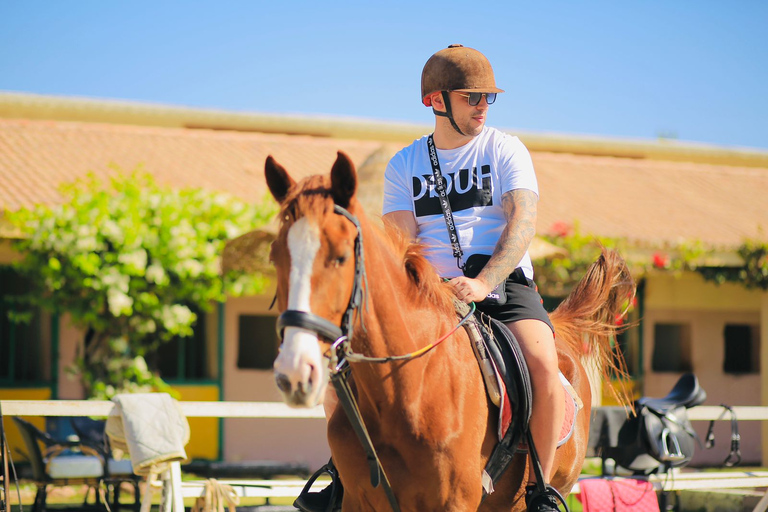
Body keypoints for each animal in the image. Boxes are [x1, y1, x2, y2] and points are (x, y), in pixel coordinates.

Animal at [262, 150, 632, 510]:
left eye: (340, 258)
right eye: (276, 257)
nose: (294, 371)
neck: (406, 388)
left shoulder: (454, 501)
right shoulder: (358, 500)